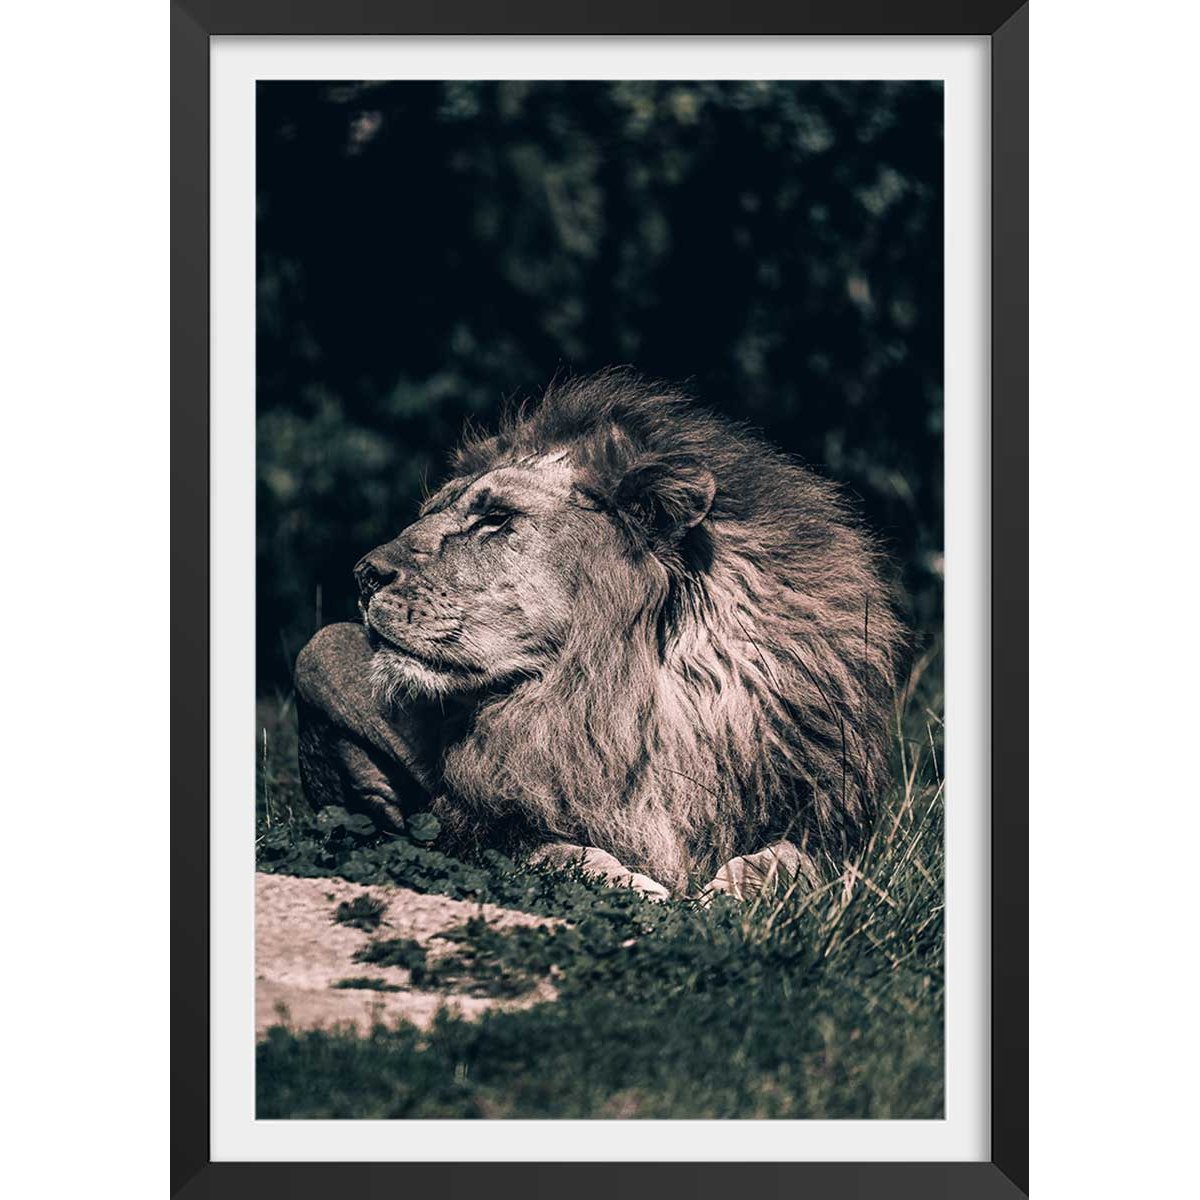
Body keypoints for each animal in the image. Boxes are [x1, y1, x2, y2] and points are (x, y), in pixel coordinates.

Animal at [294, 372, 904, 899]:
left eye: (495, 519)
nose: (363, 574)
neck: (623, 700)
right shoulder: (480, 824)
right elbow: (561, 852)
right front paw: (643, 889)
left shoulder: (828, 822)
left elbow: (791, 859)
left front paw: (730, 893)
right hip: (315, 653)